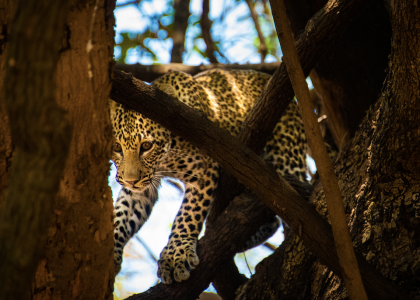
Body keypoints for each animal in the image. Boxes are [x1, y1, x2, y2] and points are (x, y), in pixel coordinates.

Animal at [108, 69, 306, 284]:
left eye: (146, 146)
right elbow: (122, 214)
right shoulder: (142, 185)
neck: (165, 158)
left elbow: (188, 213)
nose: (130, 180)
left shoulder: (203, 170)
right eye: (117, 147)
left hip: (288, 158)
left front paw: (175, 256)